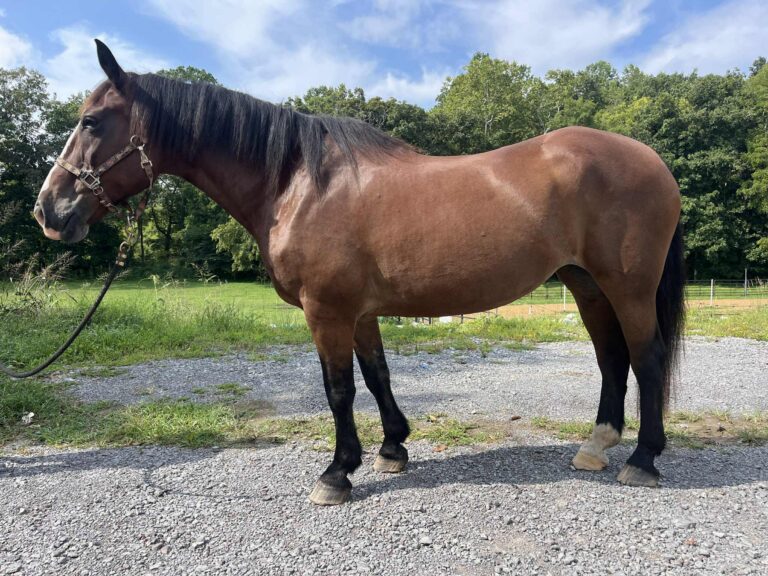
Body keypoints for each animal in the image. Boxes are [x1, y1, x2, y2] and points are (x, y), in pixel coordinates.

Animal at [34, 41, 685, 505]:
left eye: (92, 121)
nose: (48, 211)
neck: (299, 184)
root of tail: (652, 160)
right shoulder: (362, 312)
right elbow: (377, 376)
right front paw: (393, 448)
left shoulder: (328, 311)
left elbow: (338, 389)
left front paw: (336, 473)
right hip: (586, 284)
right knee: (611, 358)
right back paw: (598, 445)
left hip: (626, 286)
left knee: (646, 357)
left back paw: (642, 460)